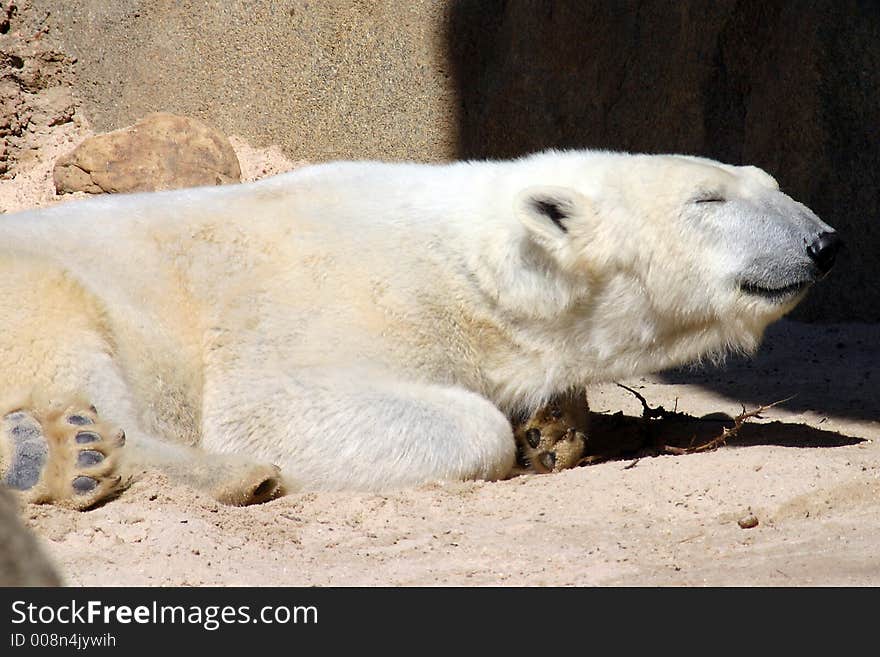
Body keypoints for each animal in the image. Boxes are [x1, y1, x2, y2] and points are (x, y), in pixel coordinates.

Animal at [0, 150, 840, 508]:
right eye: (708, 200)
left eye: (768, 183)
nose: (823, 241)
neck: (462, 257)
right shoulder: (328, 297)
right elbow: (276, 405)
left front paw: (551, 430)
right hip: (42, 279)